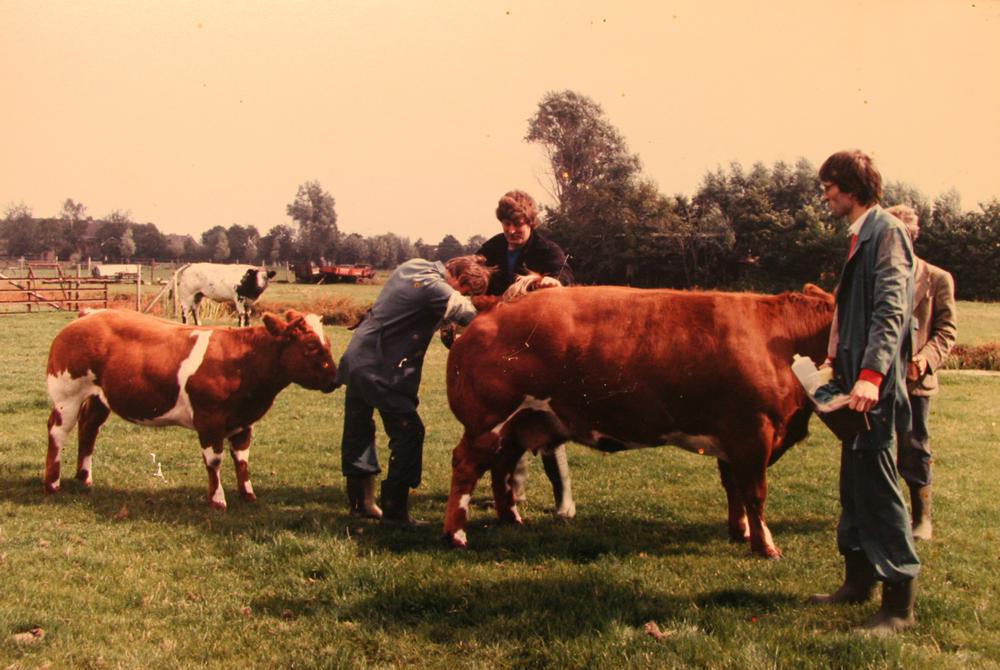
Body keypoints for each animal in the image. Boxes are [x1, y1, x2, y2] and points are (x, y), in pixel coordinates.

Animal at [45, 308, 338, 508]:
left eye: (328, 343)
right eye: (311, 345)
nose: (334, 378)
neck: (243, 362)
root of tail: (90, 314)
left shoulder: (244, 421)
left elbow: (242, 459)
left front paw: (248, 495)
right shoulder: (209, 419)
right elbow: (215, 459)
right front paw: (218, 500)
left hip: (99, 398)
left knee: (89, 428)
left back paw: (84, 478)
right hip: (67, 396)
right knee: (57, 432)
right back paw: (52, 483)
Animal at [442, 284, 836, 558]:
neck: (782, 342)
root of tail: (493, 307)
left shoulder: (733, 441)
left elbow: (734, 490)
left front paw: (741, 533)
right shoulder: (752, 432)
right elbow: (755, 493)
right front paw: (766, 547)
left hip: (521, 424)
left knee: (502, 466)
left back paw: (512, 520)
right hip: (487, 422)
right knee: (466, 467)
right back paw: (456, 535)